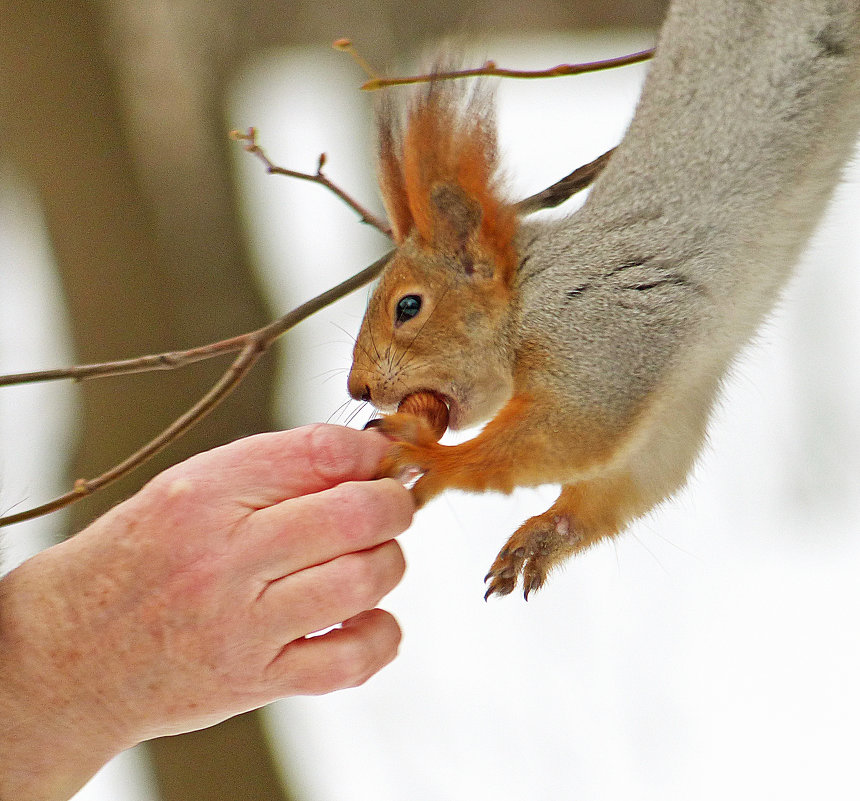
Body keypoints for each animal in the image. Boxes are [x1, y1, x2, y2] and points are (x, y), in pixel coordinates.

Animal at [346, 0, 860, 600]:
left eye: (408, 307)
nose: (358, 387)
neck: (527, 301)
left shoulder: (600, 336)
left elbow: (570, 432)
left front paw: (429, 455)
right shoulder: (673, 408)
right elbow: (635, 478)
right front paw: (542, 534)